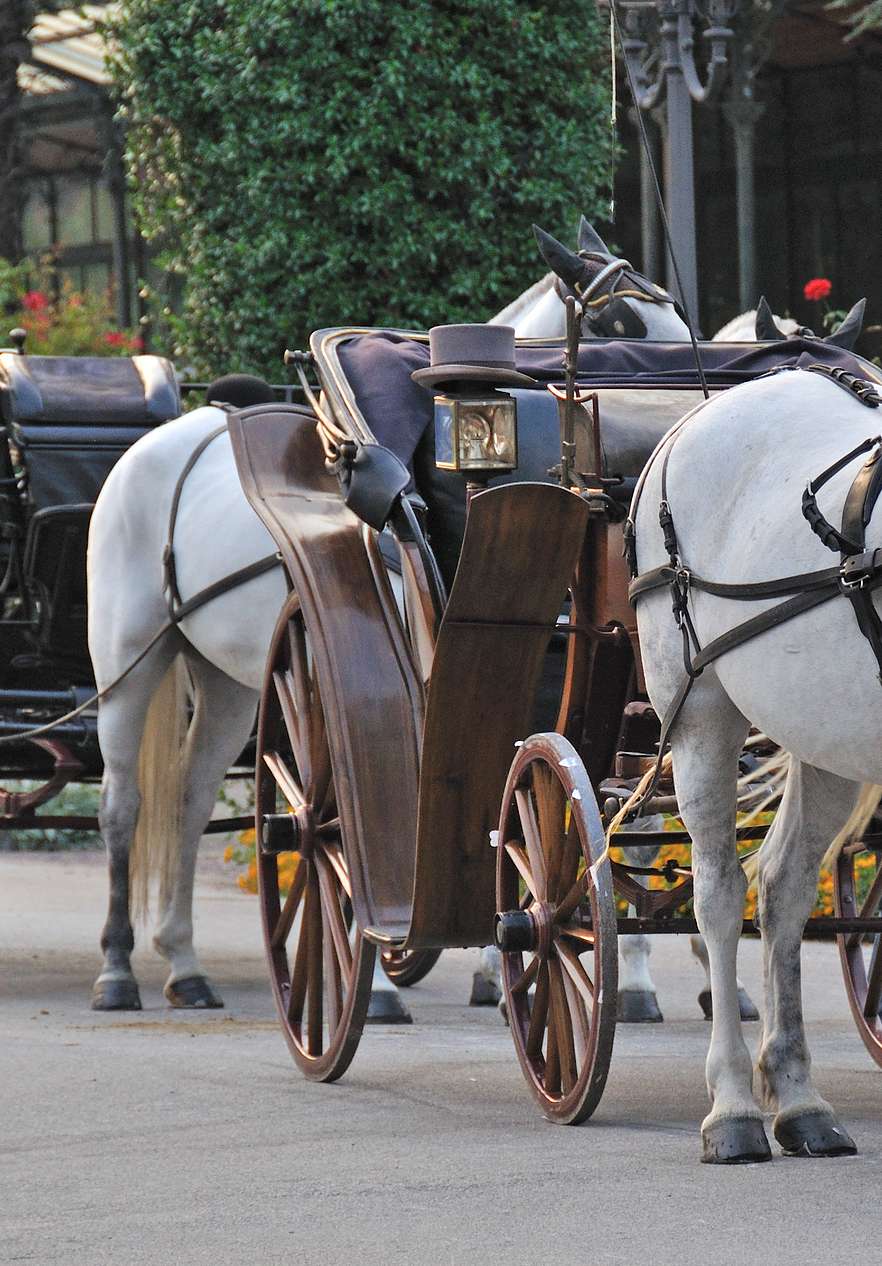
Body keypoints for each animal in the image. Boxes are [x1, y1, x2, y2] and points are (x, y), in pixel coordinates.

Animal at [87, 216, 693, 1013]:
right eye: (622, 322)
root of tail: (163, 441)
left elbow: (623, 814)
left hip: (226, 681)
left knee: (187, 800)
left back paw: (185, 964)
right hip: (132, 661)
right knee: (124, 807)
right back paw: (120, 966)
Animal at [629, 361, 882, 1161]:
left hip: (827, 734)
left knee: (782, 888)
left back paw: (798, 1097)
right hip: (698, 711)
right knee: (718, 894)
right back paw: (734, 1106)